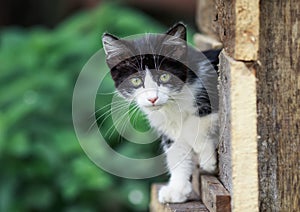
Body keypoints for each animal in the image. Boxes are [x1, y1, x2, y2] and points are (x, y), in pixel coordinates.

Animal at [102, 23, 221, 204]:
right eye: (136, 80)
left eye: (164, 77)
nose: (153, 98)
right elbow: (175, 148)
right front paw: (177, 189)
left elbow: (193, 124)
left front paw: (207, 159)